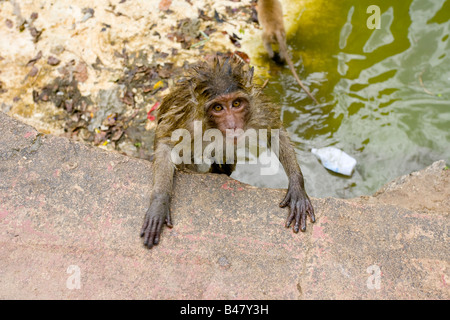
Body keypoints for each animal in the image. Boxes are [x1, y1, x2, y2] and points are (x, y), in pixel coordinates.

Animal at [139, 55, 314, 250]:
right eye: (218, 108)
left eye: (236, 103)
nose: (232, 125)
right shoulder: (189, 121)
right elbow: (166, 144)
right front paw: (159, 203)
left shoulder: (258, 110)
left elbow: (276, 132)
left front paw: (297, 186)